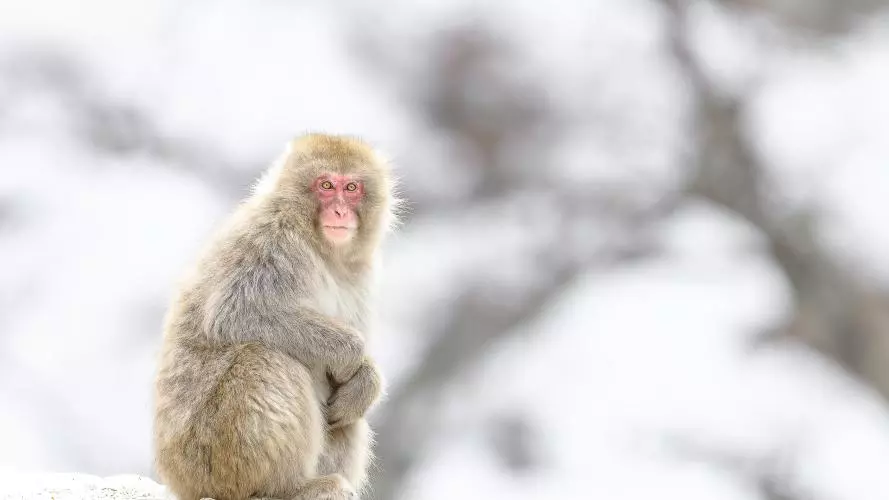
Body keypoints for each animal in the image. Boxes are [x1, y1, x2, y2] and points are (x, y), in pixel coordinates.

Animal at [152, 133, 400, 500]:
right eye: (326, 185)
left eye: (352, 187)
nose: (340, 210)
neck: (321, 248)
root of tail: (180, 482)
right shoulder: (273, 239)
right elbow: (235, 313)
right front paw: (350, 352)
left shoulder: (362, 274)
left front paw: (366, 379)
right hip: (212, 458)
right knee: (265, 359)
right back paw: (289, 488)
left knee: (348, 418)